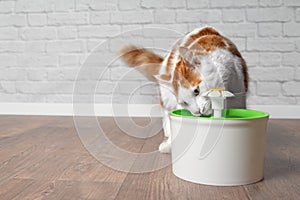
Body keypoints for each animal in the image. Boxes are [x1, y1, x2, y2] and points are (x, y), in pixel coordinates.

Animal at [119, 27, 248, 153]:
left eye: (196, 91)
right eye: (184, 103)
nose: (198, 112)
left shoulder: (238, 95)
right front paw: (170, 144)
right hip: (166, 96)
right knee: (166, 112)